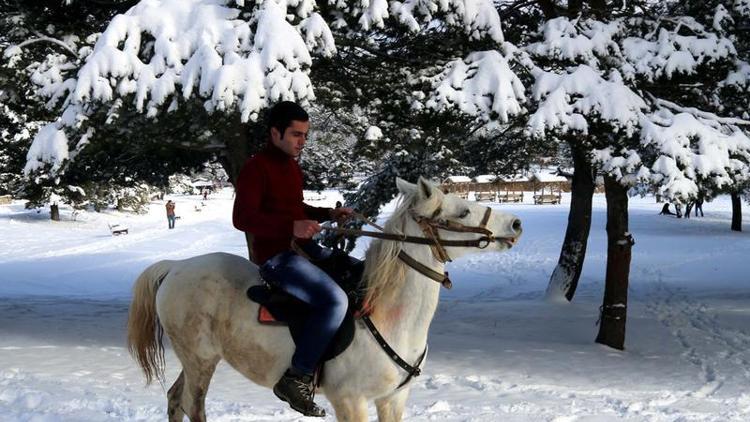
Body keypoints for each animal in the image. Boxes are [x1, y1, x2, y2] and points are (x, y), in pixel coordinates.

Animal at [126, 176, 524, 420]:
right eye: (463, 211)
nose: (516, 224)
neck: (389, 315)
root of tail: (176, 267)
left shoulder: (393, 400)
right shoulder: (350, 401)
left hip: (195, 360)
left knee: (175, 399)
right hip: (200, 360)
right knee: (192, 405)